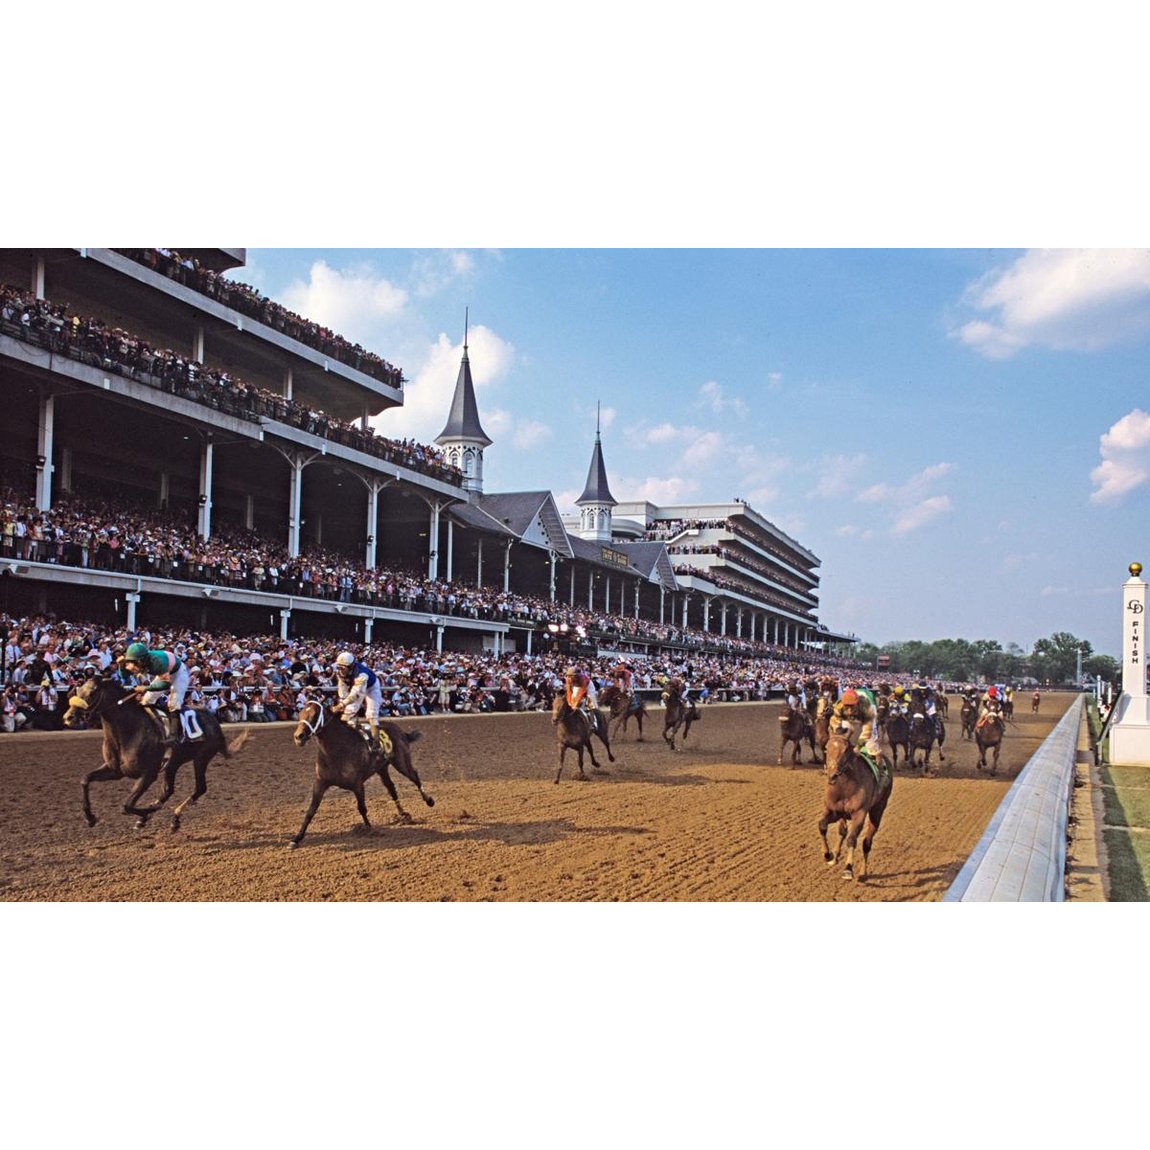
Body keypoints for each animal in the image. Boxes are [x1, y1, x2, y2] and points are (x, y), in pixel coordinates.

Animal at [64, 671, 248, 828]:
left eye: (93, 692)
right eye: (78, 689)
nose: (68, 717)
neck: (129, 730)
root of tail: (214, 721)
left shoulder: (148, 774)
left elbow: (127, 806)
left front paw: (147, 813)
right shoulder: (115, 770)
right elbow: (85, 780)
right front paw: (89, 817)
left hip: (201, 758)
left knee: (200, 788)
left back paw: (174, 817)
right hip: (174, 762)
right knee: (169, 790)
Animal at [292, 694, 434, 851]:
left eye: (315, 715)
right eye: (300, 714)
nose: (298, 736)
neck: (337, 750)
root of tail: (401, 731)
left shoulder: (358, 785)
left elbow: (362, 808)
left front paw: (370, 829)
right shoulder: (320, 782)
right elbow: (310, 811)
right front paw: (297, 838)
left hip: (401, 762)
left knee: (414, 776)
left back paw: (428, 800)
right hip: (382, 769)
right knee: (392, 788)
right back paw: (403, 814)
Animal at [818, 731, 897, 883]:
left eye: (845, 750)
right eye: (826, 748)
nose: (832, 775)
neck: (845, 787)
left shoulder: (859, 814)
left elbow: (852, 838)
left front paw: (848, 868)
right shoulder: (834, 811)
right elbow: (822, 826)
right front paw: (828, 854)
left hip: (877, 810)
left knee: (867, 842)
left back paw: (863, 872)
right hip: (843, 815)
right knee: (842, 831)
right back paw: (835, 856)